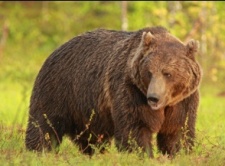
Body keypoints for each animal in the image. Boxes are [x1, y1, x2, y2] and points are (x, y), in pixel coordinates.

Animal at [25, 26, 202, 157]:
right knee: (44, 124)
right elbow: (136, 128)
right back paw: (38, 151)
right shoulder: (130, 90)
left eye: (168, 73)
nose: (153, 98)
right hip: (58, 89)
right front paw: (142, 154)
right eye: (149, 72)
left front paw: (178, 153)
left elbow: (178, 130)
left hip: (88, 111)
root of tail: (56, 49)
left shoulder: (183, 100)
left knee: (91, 137)